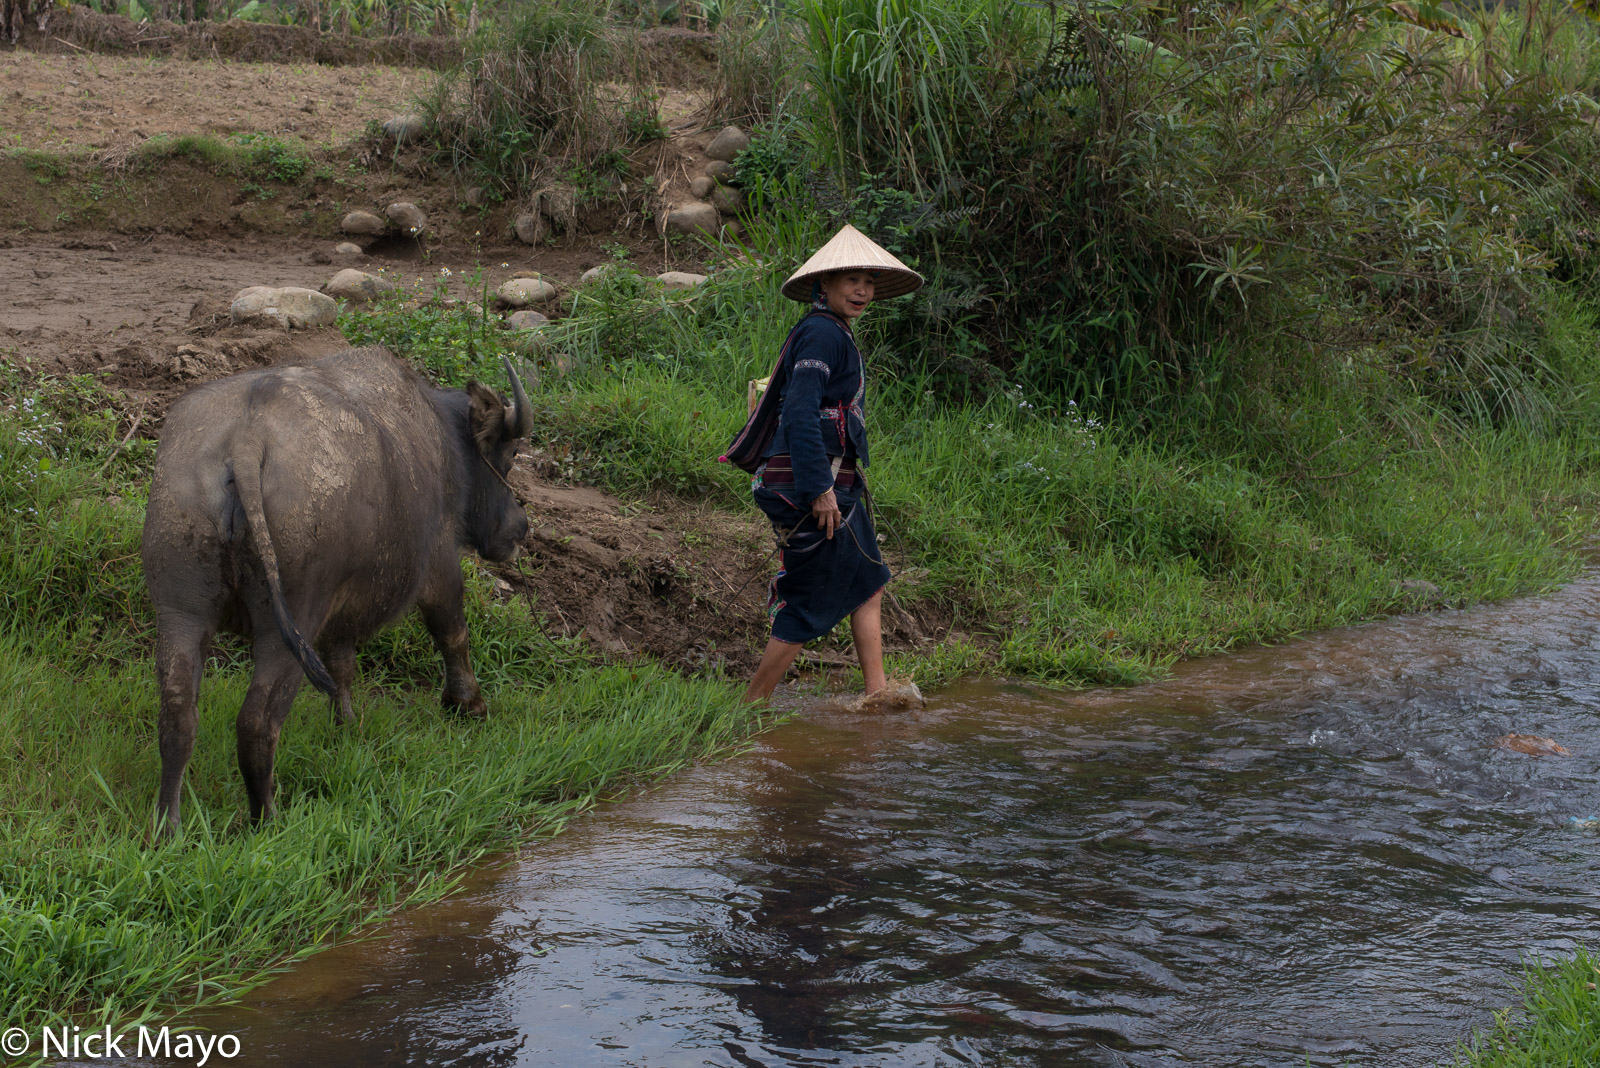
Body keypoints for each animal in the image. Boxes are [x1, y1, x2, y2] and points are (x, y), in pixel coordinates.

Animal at [144, 346, 531, 831]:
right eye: (510, 453)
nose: (520, 527)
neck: (439, 441)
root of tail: (245, 443)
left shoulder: (341, 610)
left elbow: (342, 665)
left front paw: (346, 726)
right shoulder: (439, 566)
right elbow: (452, 634)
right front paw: (469, 705)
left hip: (180, 608)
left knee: (177, 712)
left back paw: (168, 825)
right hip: (288, 622)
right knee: (257, 721)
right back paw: (266, 818)